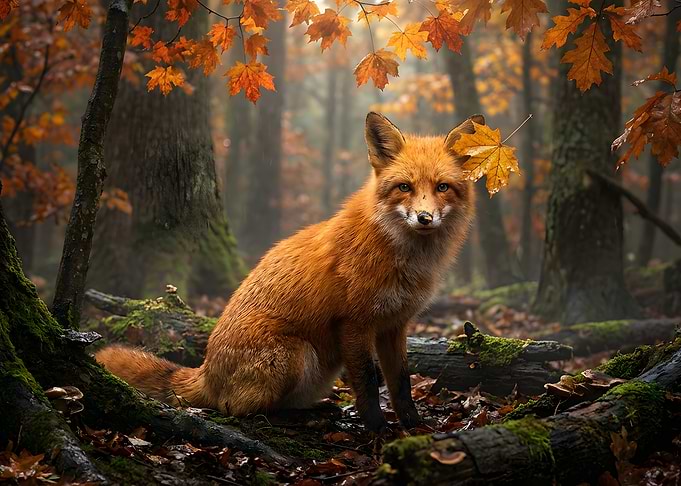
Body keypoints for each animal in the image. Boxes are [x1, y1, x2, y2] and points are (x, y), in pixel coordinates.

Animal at [95, 112, 482, 432]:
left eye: (442, 187)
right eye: (405, 187)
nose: (424, 218)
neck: (401, 257)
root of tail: (206, 369)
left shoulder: (394, 325)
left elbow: (401, 382)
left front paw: (414, 425)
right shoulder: (354, 323)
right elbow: (369, 383)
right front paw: (377, 430)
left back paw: (315, 410)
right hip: (295, 355)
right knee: (237, 408)